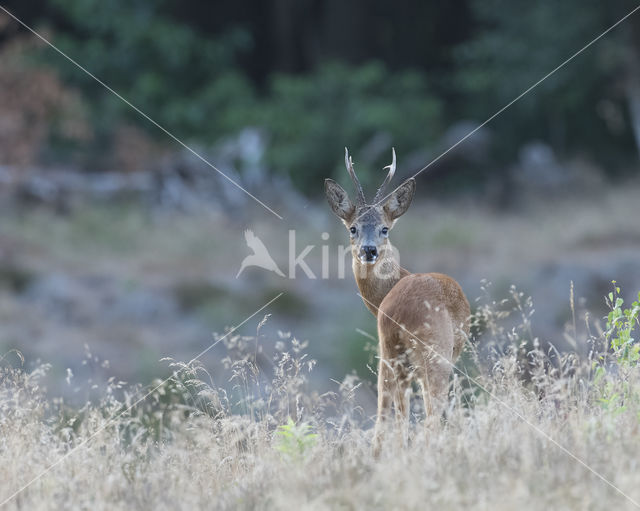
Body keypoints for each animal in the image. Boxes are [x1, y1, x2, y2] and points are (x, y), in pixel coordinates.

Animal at [324, 149, 470, 456]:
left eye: (384, 229)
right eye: (352, 228)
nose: (369, 250)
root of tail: (399, 313)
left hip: (391, 352)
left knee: (385, 409)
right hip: (433, 353)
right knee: (428, 413)